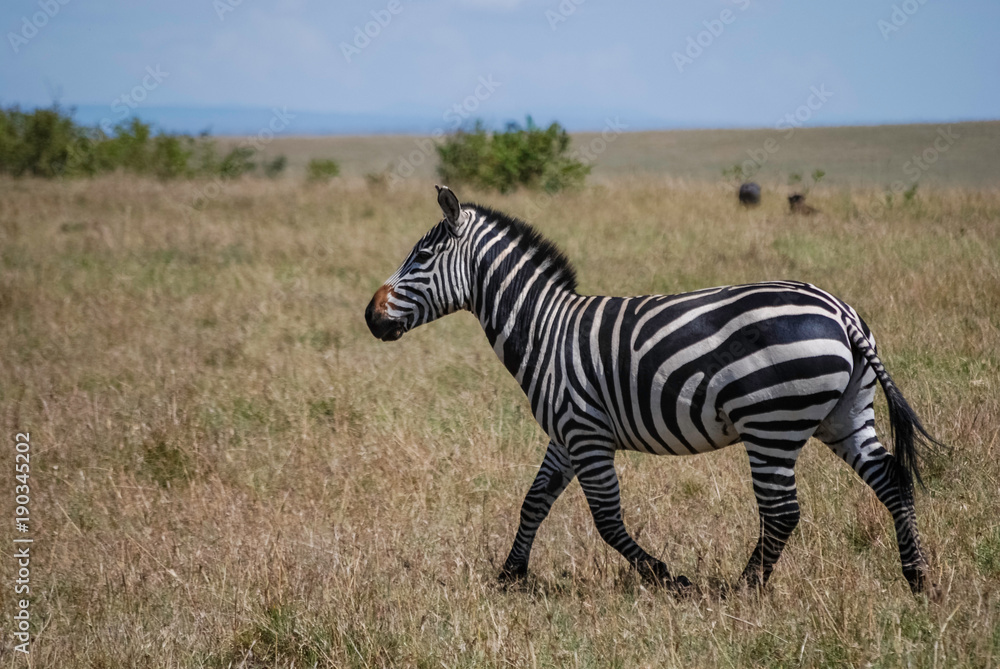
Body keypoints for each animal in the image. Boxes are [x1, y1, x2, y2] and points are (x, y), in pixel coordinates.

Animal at [364, 185, 942, 594]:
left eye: (420, 259)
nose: (369, 317)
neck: (545, 328)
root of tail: (840, 312)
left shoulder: (586, 433)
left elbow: (607, 521)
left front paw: (670, 579)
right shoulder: (566, 435)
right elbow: (534, 502)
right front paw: (509, 577)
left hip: (772, 423)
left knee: (782, 512)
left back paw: (743, 591)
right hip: (843, 415)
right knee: (892, 481)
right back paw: (918, 581)